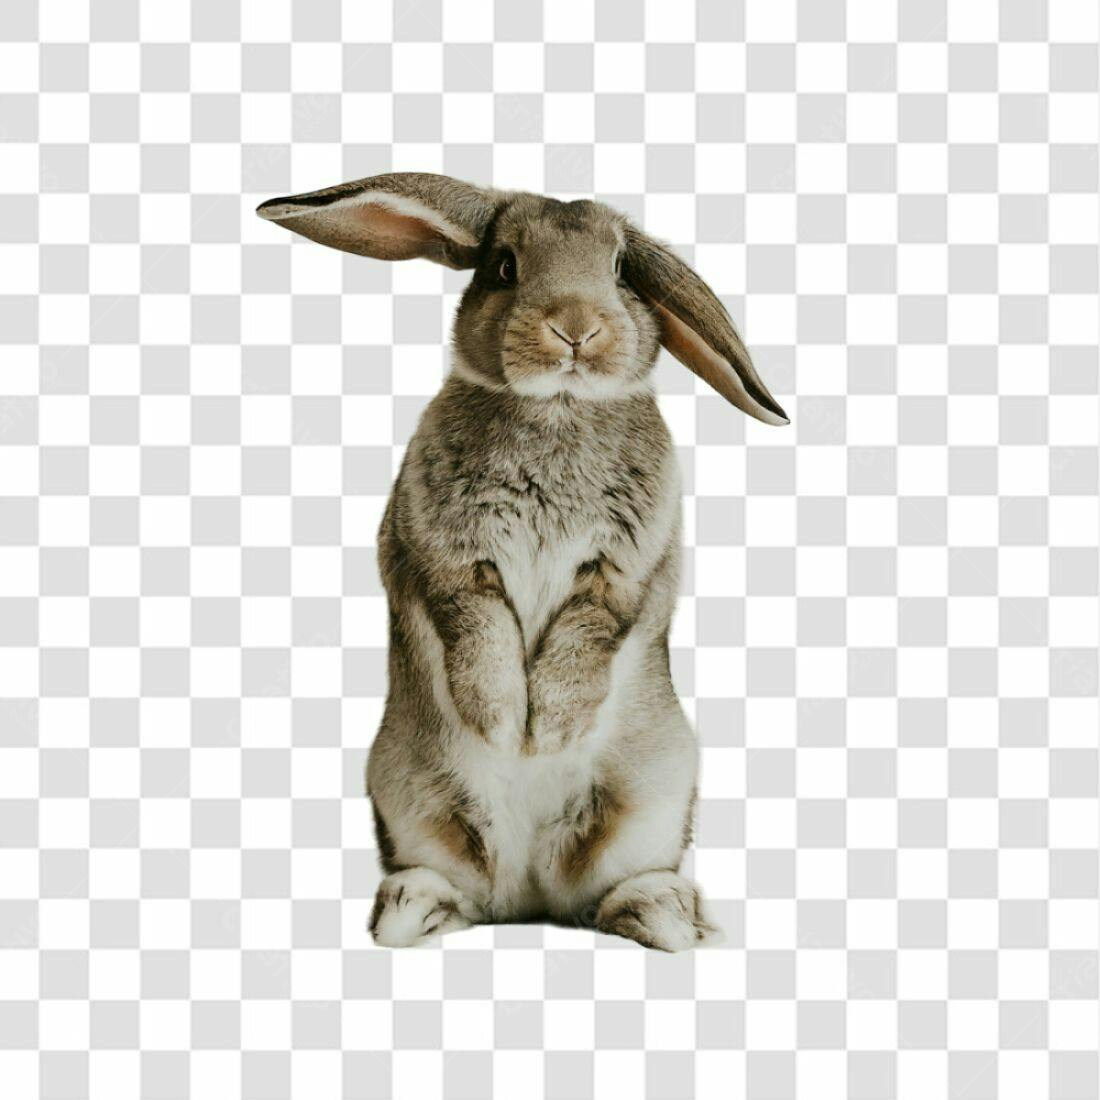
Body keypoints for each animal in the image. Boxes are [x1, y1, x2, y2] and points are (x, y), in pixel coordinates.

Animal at [256, 173, 788, 951]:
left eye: (621, 270)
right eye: (505, 266)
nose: (576, 327)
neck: (559, 406)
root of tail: (529, 895)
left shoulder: (621, 571)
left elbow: (587, 632)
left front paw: (550, 731)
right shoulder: (447, 558)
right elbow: (480, 631)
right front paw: (506, 726)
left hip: (654, 798)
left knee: (607, 890)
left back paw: (663, 917)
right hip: (410, 797)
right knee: (458, 884)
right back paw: (410, 913)